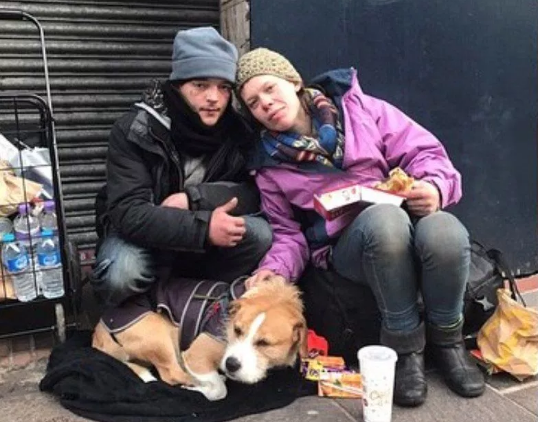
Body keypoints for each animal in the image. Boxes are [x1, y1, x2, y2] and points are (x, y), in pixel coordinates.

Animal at [90, 278, 304, 400]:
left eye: (264, 343)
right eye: (237, 330)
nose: (231, 365)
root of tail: (99, 329)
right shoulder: (196, 356)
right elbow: (218, 391)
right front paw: (206, 389)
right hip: (160, 332)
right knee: (171, 374)